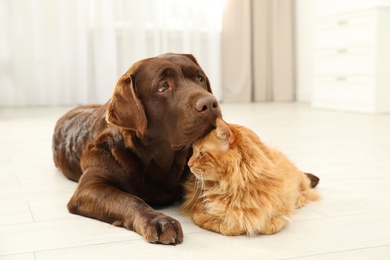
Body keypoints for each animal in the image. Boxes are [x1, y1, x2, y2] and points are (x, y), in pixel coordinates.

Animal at [181, 119, 318, 237]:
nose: (188, 164)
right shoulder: (199, 213)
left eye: (202, 154)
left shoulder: (282, 211)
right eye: (193, 152)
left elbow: (268, 225)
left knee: (305, 186)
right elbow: (230, 227)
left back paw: (299, 201)